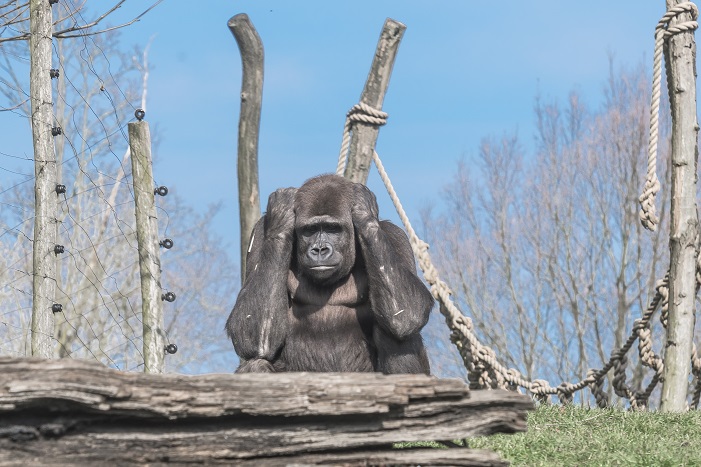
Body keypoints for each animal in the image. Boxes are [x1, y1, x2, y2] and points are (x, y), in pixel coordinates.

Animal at [226, 174, 432, 374]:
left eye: (333, 228)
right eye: (310, 230)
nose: (319, 249)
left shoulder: (394, 235)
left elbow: (409, 310)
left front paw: (363, 208)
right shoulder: (260, 231)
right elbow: (249, 331)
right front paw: (282, 213)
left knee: (397, 329)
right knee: (255, 361)